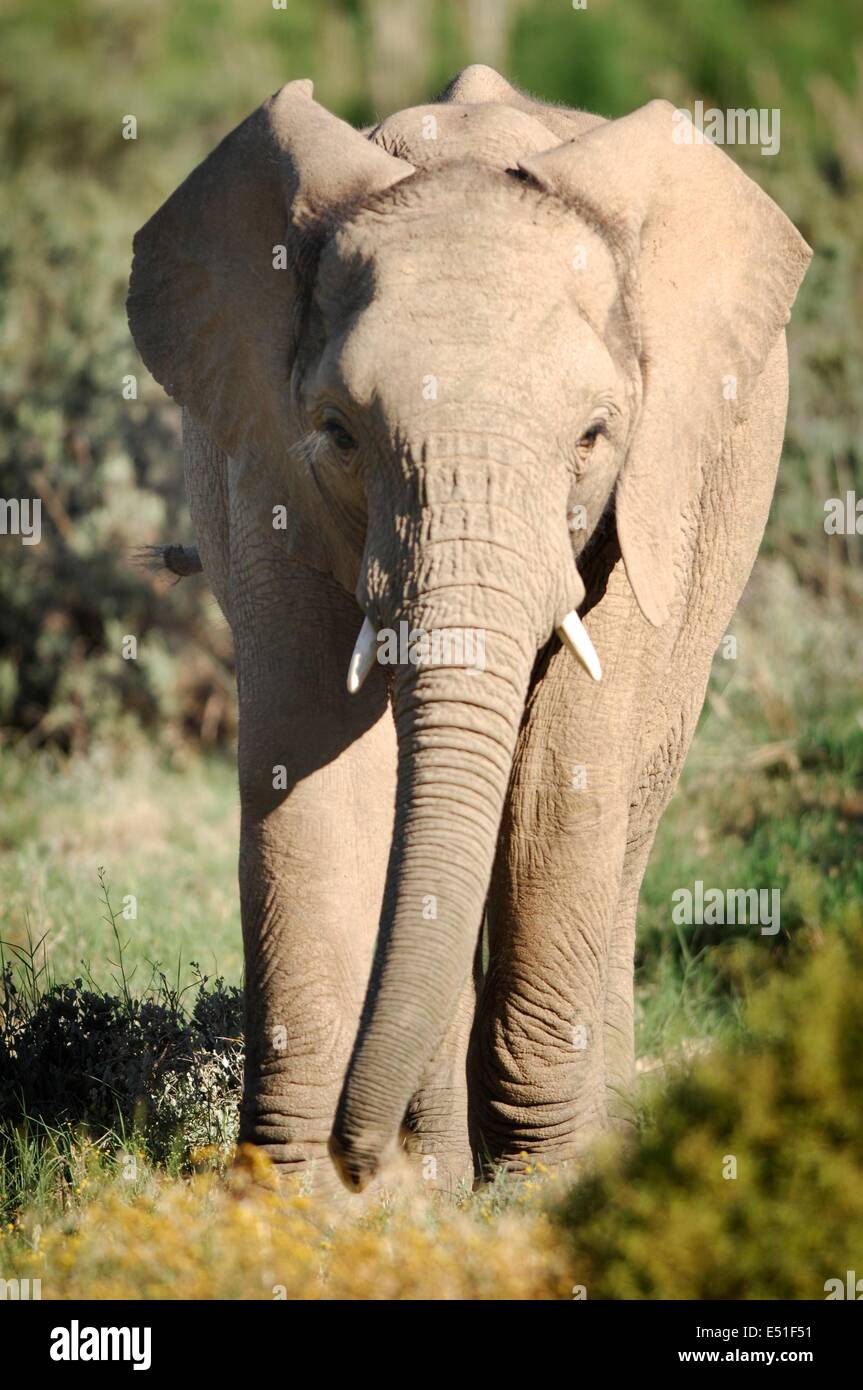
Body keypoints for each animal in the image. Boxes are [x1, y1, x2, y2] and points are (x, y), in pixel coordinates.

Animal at [126, 67, 806, 1195]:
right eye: (338, 433)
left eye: (593, 436)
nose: (363, 1153)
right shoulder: (262, 460)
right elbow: (303, 762)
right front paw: (297, 1195)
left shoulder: (648, 484)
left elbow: (564, 773)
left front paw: (544, 1183)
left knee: (624, 808)